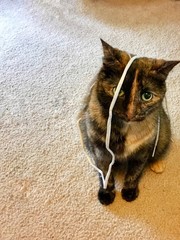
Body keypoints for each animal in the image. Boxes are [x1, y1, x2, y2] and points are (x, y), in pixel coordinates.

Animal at [78, 39, 179, 204]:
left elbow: (135, 171)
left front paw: (130, 191)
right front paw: (106, 193)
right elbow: (105, 171)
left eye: (147, 96)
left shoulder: (142, 150)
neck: (125, 128)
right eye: (117, 91)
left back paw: (157, 163)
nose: (130, 113)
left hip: (163, 129)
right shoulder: (100, 150)